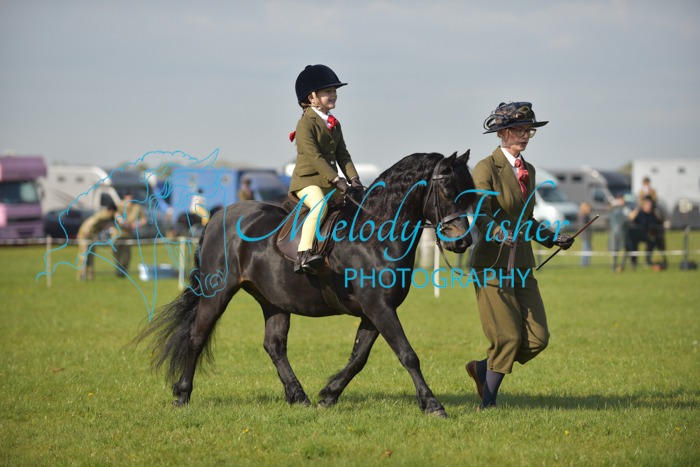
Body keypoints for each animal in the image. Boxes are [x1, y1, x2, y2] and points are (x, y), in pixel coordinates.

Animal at [138, 150, 476, 417]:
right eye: (448, 190)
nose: (463, 242)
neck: (375, 233)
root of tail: (218, 217)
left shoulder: (375, 311)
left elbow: (358, 357)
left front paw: (328, 395)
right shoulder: (379, 308)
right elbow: (407, 354)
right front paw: (432, 405)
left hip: (273, 301)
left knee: (274, 345)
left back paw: (298, 396)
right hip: (217, 292)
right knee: (197, 337)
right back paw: (182, 395)